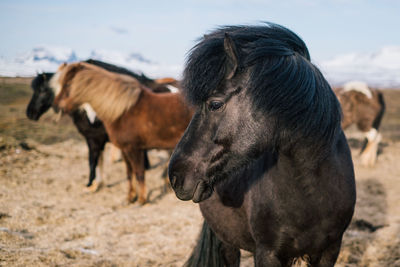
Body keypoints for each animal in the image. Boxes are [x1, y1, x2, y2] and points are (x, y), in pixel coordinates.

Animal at [25, 59, 174, 192]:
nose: (30, 113)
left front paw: (90, 184)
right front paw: (98, 183)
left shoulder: (94, 139)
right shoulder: (99, 140)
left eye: (43, 90)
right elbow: (99, 160)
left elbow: (93, 161)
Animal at [51, 62, 192, 205]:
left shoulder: (134, 149)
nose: (56, 106)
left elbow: (139, 173)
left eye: (67, 84)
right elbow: (129, 173)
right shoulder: (124, 149)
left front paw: (141, 200)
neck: (123, 111)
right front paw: (130, 198)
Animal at [169, 24, 356, 266]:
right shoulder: (267, 253)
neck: (312, 195)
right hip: (227, 242)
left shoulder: (330, 250)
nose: (175, 176)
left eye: (215, 104)